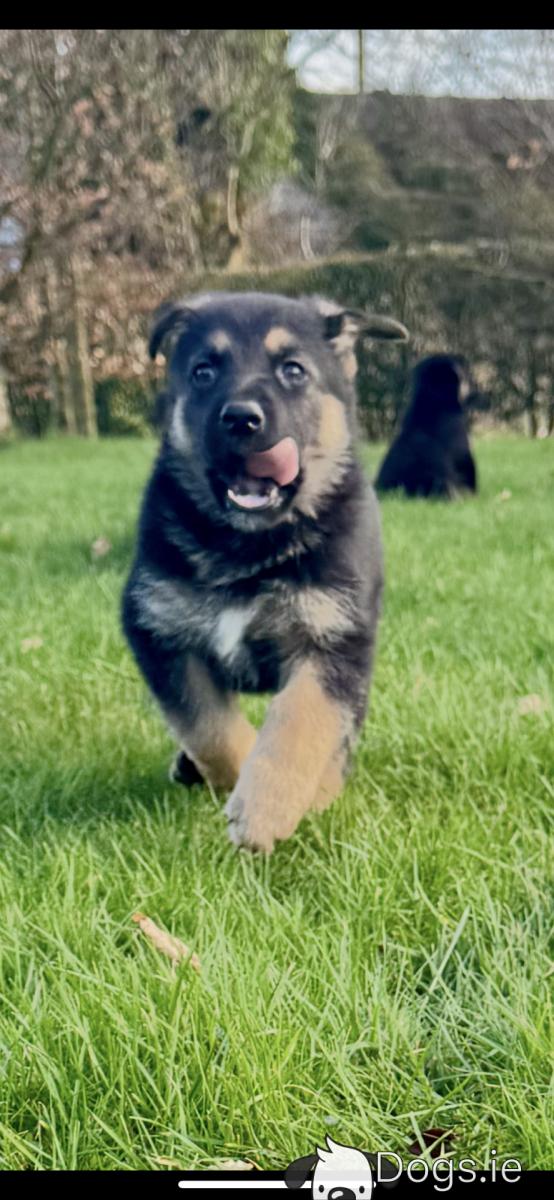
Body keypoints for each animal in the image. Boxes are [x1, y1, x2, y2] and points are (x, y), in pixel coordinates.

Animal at [122, 291, 408, 852]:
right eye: (203, 371)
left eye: (293, 370)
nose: (240, 419)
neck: (249, 547)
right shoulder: (159, 630)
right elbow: (207, 724)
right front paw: (236, 779)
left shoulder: (334, 640)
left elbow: (302, 720)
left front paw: (265, 810)